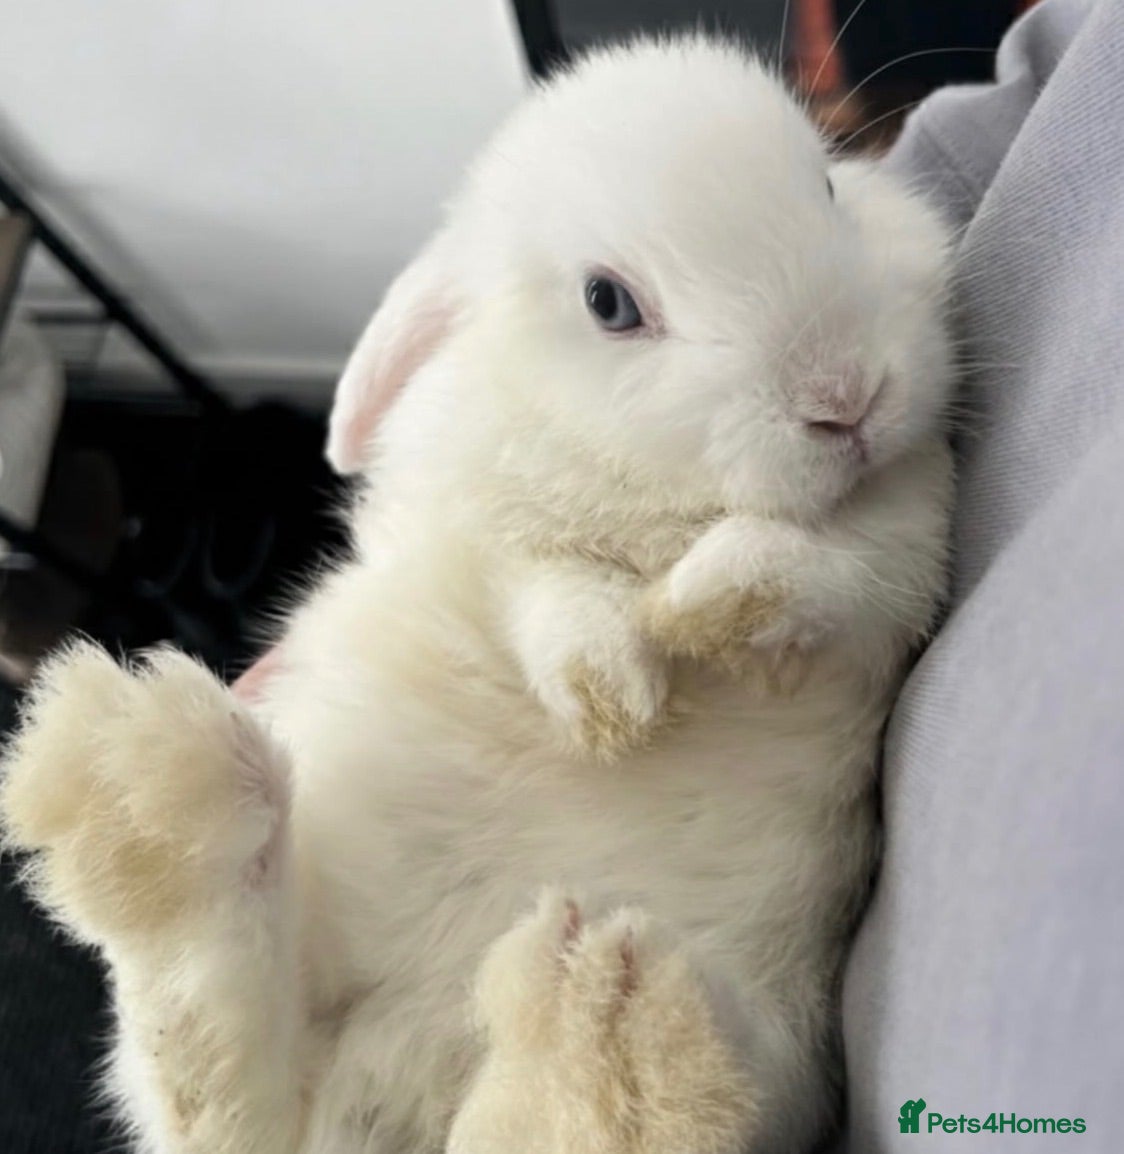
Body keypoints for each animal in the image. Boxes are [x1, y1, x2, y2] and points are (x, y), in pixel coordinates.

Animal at [0, 36, 956, 1154]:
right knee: (220, 1061)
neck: (662, 504)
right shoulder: (469, 530)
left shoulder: (901, 540)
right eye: (607, 303)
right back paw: (144, 791)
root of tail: (390, 1090)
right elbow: (544, 593)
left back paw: (604, 1031)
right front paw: (612, 697)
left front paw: (694, 611)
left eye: (828, 185)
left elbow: (810, 573)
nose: (846, 399)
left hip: (774, 1049)